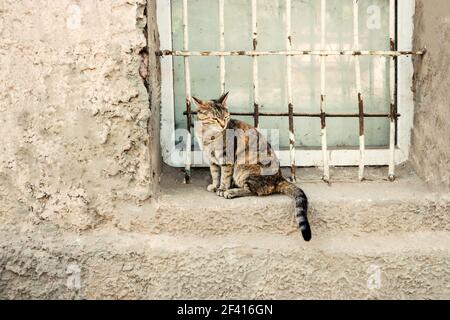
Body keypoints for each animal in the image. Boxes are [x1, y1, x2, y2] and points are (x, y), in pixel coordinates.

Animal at [192, 91, 312, 241]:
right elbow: (215, 174)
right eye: (214, 118)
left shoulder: (226, 159)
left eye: (226, 117)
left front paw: (221, 188)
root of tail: (279, 178)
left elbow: (224, 176)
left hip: (243, 170)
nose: (223, 125)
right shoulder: (212, 161)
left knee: (252, 190)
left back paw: (231, 192)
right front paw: (214, 185)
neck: (208, 136)